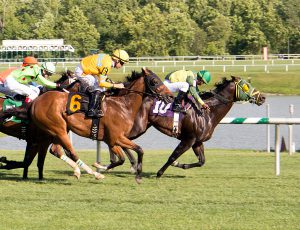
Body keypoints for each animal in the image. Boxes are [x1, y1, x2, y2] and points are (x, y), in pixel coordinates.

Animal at [99, 76, 266, 177]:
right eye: (246, 86)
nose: (263, 97)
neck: (207, 112)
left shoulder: (197, 142)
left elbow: (201, 161)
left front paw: (180, 165)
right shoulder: (188, 139)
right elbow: (173, 155)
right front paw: (160, 172)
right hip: (138, 127)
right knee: (117, 139)